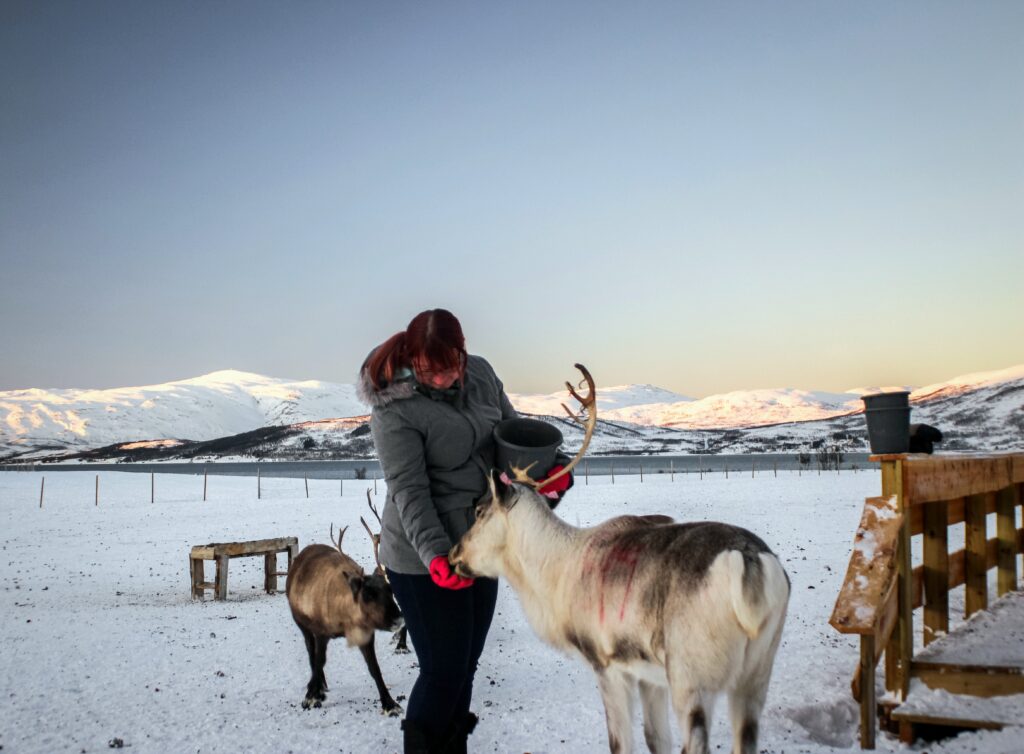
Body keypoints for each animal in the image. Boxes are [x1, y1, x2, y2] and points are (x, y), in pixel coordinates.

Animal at [286, 522, 404, 715]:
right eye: (368, 594)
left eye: (390, 589)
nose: (398, 619)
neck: (345, 618)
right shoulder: (320, 632)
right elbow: (319, 661)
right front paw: (311, 697)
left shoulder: (366, 634)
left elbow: (374, 668)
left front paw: (389, 703)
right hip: (302, 624)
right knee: (311, 653)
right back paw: (319, 687)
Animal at [448, 364, 790, 754]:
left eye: (478, 511)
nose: (453, 554)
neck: (554, 574)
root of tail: (750, 563)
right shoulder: (648, 676)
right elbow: (656, 738)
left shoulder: (607, 664)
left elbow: (621, 742)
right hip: (755, 675)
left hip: (691, 677)